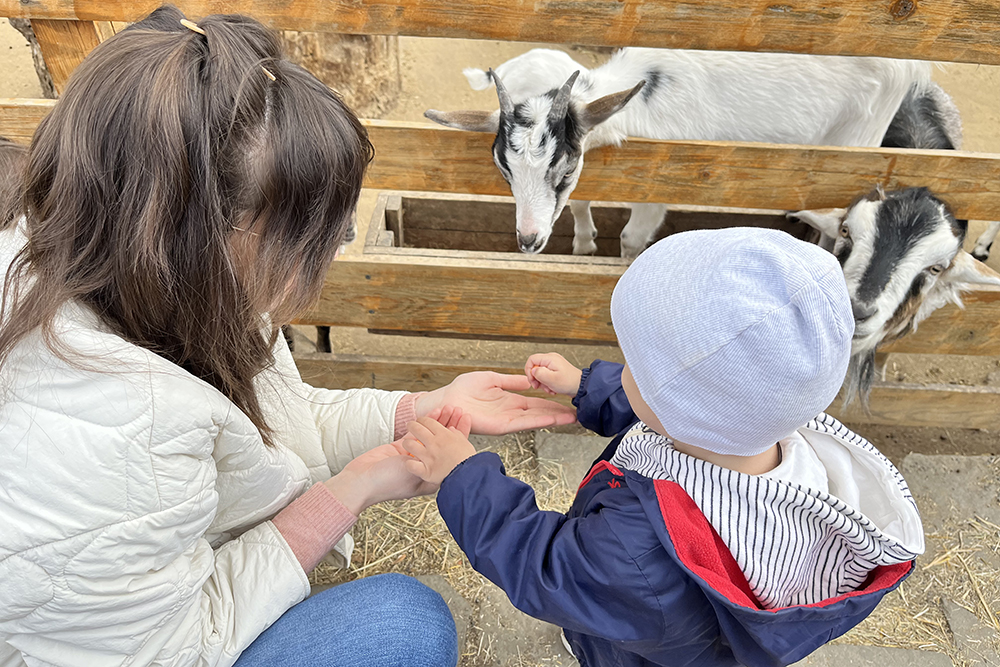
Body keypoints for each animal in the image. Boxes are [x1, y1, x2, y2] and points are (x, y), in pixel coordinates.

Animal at [428, 48, 928, 258]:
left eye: (563, 170)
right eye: (505, 171)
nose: (528, 241)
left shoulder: (656, 191)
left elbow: (631, 238)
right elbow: (582, 204)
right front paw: (584, 243)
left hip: (859, 139)